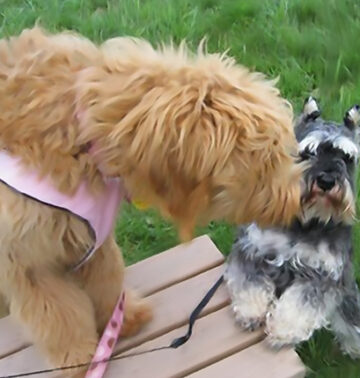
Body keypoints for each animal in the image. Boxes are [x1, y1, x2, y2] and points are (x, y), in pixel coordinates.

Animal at [0, 27, 302, 376]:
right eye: (266, 162)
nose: (296, 204)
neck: (81, 129)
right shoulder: (29, 263)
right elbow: (58, 317)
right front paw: (80, 360)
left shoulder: (93, 239)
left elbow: (108, 282)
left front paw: (124, 319)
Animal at [225, 97, 360, 358]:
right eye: (308, 152)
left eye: (347, 157)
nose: (326, 181)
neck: (305, 222)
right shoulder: (253, 249)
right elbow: (249, 281)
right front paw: (250, 311)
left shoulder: (322, 275)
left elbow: (301, 304)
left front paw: (283, 331)